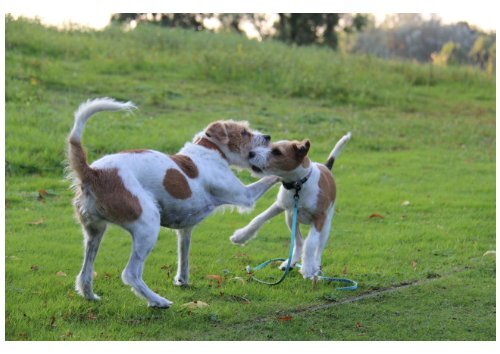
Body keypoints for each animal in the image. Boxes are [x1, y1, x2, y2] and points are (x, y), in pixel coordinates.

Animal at [66, 98, 278, 308]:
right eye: (244, 132)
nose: (267, 136)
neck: (210, 150)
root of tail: (93, 173)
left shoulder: (184, 230)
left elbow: (183, 257)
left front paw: (182, 280)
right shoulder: (245, 195)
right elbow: (271, 177)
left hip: (94, 233)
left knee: (85, 274)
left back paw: (90, 296)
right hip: (147, 225)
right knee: (131, 274)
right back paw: (157, 301)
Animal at [230, 133, 352, 280]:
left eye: (277, 152)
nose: (251, 153)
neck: (298, 185)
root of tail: (326, 167)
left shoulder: (319, 218)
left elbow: (311, 244)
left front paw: (307, 268)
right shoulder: (280, 205)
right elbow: (258, 219)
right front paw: (241, 236)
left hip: (325, 226)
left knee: (317, 248)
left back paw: (315, 267)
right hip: (290, 217)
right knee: (299, 242)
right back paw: (290, 262)